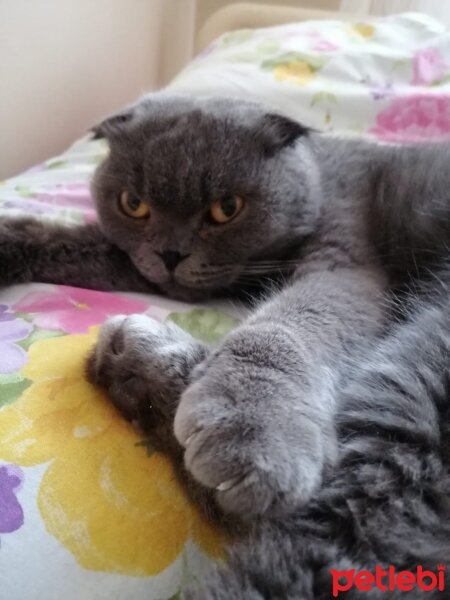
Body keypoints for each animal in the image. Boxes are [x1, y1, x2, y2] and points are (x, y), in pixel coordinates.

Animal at [0, 94, 450, 596]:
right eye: (133, 204)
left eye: (226, 208)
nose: (171, 255)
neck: (320, 177)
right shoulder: (146, 263)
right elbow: (75, 241)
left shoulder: (345, 262)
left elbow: (292, 320)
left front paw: (253, 426)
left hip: (425, 376)